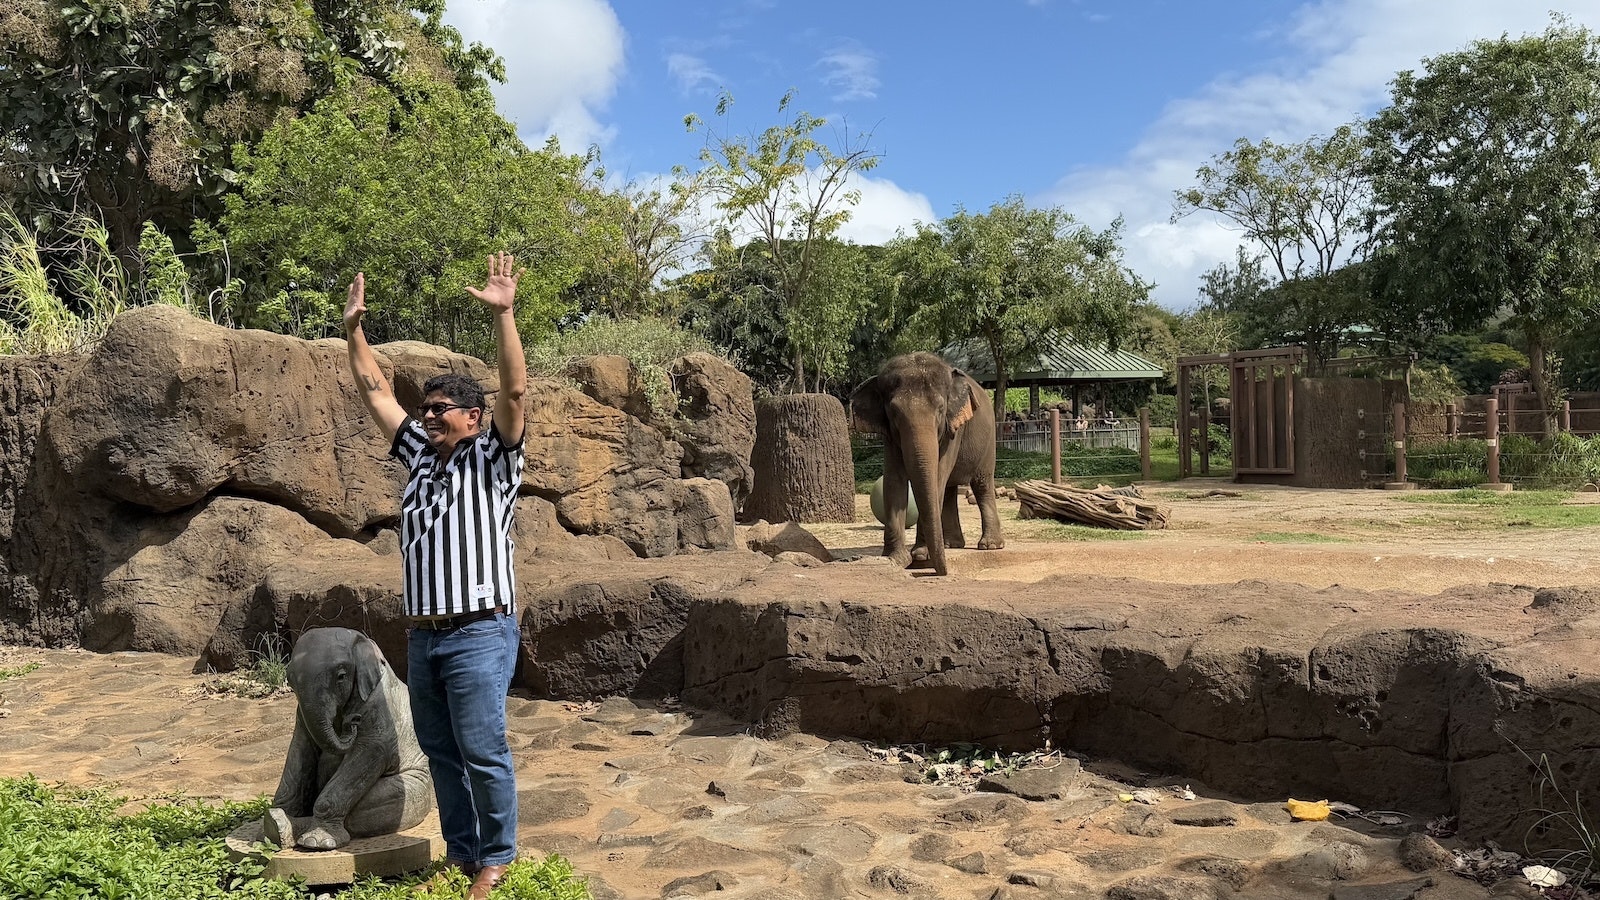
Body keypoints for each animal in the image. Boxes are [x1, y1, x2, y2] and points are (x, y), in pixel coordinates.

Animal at [265, 624, 435, 845]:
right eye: (290, 681)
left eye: (341, 676)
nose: (352, 721)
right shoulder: (301, 713)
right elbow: (300, 749)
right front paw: (276, 813)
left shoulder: (381, 705)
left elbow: (370, 751)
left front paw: (317, 843)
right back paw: (276, 826)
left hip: (416, 788)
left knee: (365, 811)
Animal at [851, 350, 998, 573]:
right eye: (893, 413)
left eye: (941, 409)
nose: (943, 571)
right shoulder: (889, 436)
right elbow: (893, 480)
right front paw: (895, 558)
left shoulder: (953, 429)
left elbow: (936, 476)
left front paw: (920, 556)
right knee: (949, 489)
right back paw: (951, 544)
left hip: (989, 442)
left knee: (981, 484)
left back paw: (990, 546)